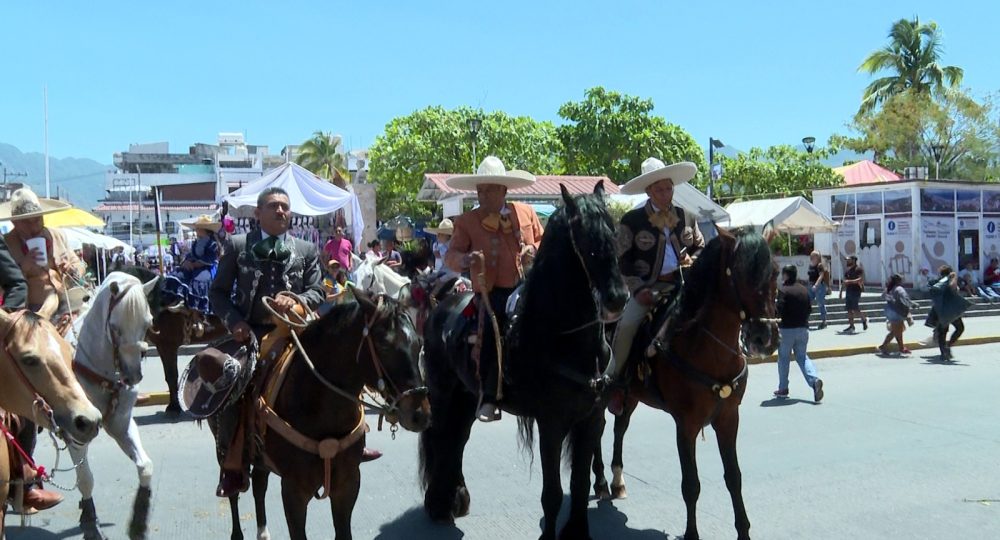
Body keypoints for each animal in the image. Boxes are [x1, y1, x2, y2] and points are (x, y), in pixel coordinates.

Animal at [66, 274, 156, 540]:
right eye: (115, 327)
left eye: (148, 323)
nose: (133, 375)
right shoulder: (76, 436)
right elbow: (85, 479)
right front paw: (89, 520)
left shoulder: (122, 425)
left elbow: (145, 467)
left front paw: (139, 522)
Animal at [217, 292, 428, 540]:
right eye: (384, 345)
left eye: (419, 343)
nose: (420, 414)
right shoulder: (294, 491)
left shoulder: (348, 484)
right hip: (228, 452)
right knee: (234, 491)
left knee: (259, 486)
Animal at [420, 185, 624, 540]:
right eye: (584, 238)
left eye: (614, 232)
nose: (618, 297)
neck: (564, 337)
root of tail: (440, 304)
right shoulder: (551, 423)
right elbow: (553, 492)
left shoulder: (592, 419)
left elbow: (580, 484)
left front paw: (578, 531)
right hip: (443, 394)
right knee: (441, 438)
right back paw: (438, 505)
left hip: (466, 398)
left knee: (456, 440)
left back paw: (456, 498)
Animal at [592, 228, 780, 540]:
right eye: (739, 273)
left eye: (775, 272)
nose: (764, 337)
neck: (704, 346)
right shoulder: (686, 424)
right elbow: (691, 484)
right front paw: (692, 533)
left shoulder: (729, 418)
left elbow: (734, 477)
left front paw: (743, 530)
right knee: (596, 431)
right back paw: (600, 481)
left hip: (630, 395)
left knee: (619, 427)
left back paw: (617, 480)